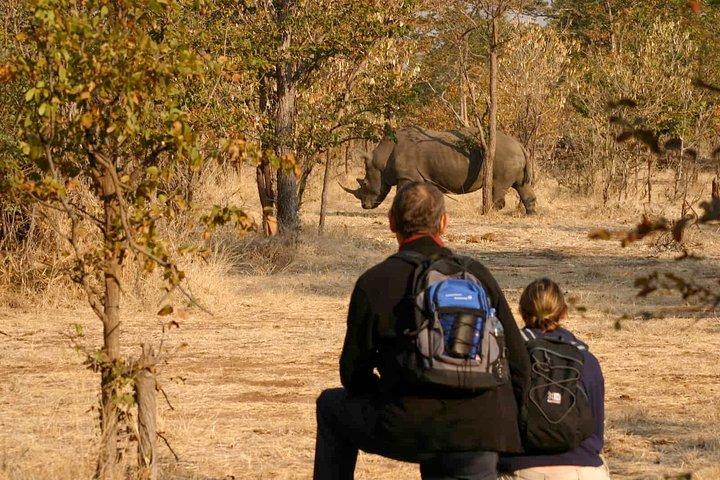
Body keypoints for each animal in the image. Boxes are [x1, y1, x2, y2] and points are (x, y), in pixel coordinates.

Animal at [342, 126, 537, 214]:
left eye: (365, 183)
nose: (365, 206)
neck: (381, 160)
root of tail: (520, 146)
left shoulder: (406, 176)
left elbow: (401, 194)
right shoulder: (423, 177)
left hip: (504, 155)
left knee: (498, 186)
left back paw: (488, 211)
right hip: (514, 155)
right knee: (522, 186)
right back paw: (530, 214)